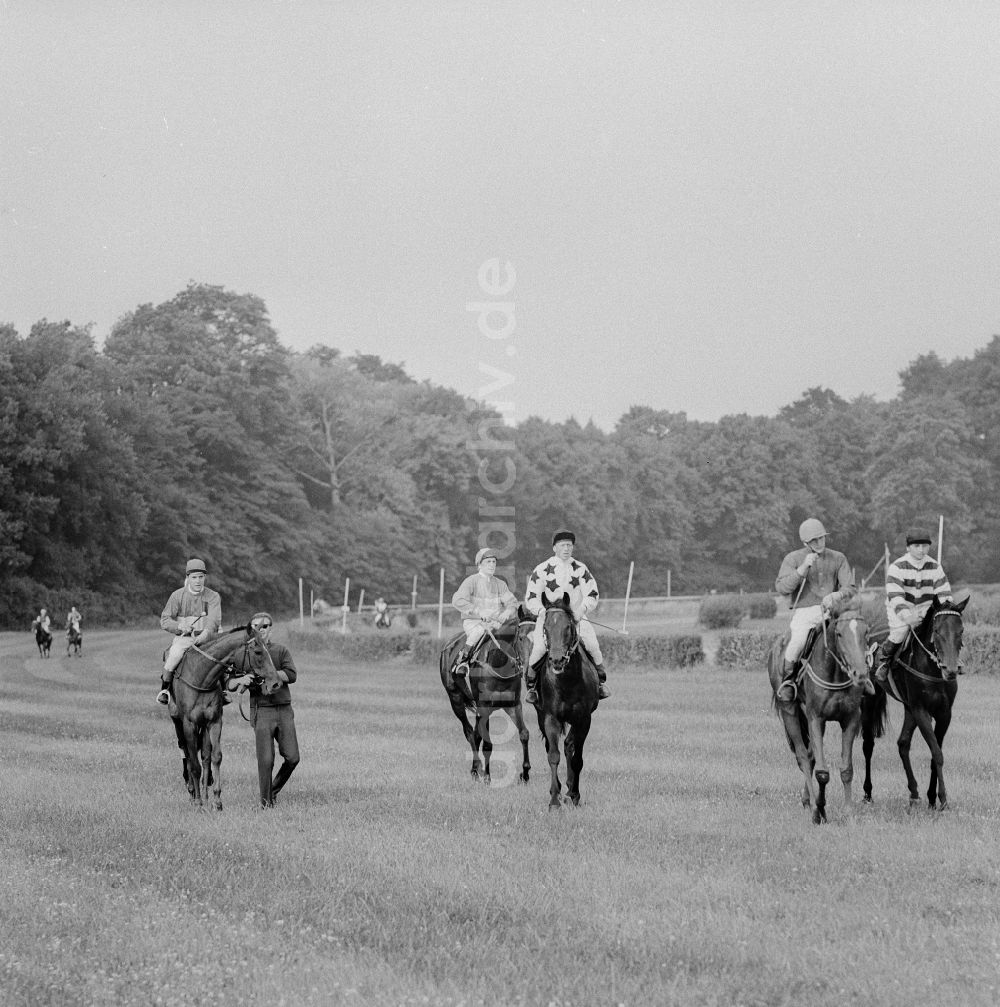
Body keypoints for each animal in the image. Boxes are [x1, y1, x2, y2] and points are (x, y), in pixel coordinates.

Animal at [166, 620, 279, 809]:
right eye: (258, 651)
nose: (276, 683)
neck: (201, 679)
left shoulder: (214, 721)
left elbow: (215, 757)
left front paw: (216, 800)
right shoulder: (189, 724)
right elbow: (193, 764)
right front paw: (198, 802)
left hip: (203, 726)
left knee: (205, 757)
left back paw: (205, 796)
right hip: (178, 724)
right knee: (186, 754)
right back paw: (193, 793)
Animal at [435, 604, 531, 785]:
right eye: (521, 638)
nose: (528, 668)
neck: (497, 664)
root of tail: (447, 646)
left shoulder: (514, 705)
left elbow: (524, 734)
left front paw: (525, 774)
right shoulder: (485, 707)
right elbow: (487, 744)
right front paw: (487, 776)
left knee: (476, 734)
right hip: (456, 700)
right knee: (469, 732)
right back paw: (477, 768)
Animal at [535, 592, 596, 805]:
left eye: (568, 627)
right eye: (545, 628)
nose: (557, 660)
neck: (566, 682)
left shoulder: (584, 719)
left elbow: (577, 758)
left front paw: (575, 794)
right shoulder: (550, 717)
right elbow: (553, 755)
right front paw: (554, 799)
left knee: (569, 745)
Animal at [769, 600, 870, 821]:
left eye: (866, 632)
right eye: (839, 633)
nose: (860, 673)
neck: (835, 673)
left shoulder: (851, 719)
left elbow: (846, 769)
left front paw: (849, 812)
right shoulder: (816, 718)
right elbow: (822, 772)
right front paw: (820, 811)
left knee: (810, 755)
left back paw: (808, 801)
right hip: (790, 710)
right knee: (803, 757)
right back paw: (813, 806)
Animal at [858, 588, 966, 809]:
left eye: (961, 631)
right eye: (937, 631)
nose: (951, 670)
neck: (932, 669)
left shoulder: (944, 714)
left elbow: (934, 754)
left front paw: (932, 798)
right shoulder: (921, 710)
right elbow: (937, 753)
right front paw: (943, 798)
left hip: (908, 708)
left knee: (903, 744)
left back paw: (914, 793)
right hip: (871, 700)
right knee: (868, 744)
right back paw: (867, 793)